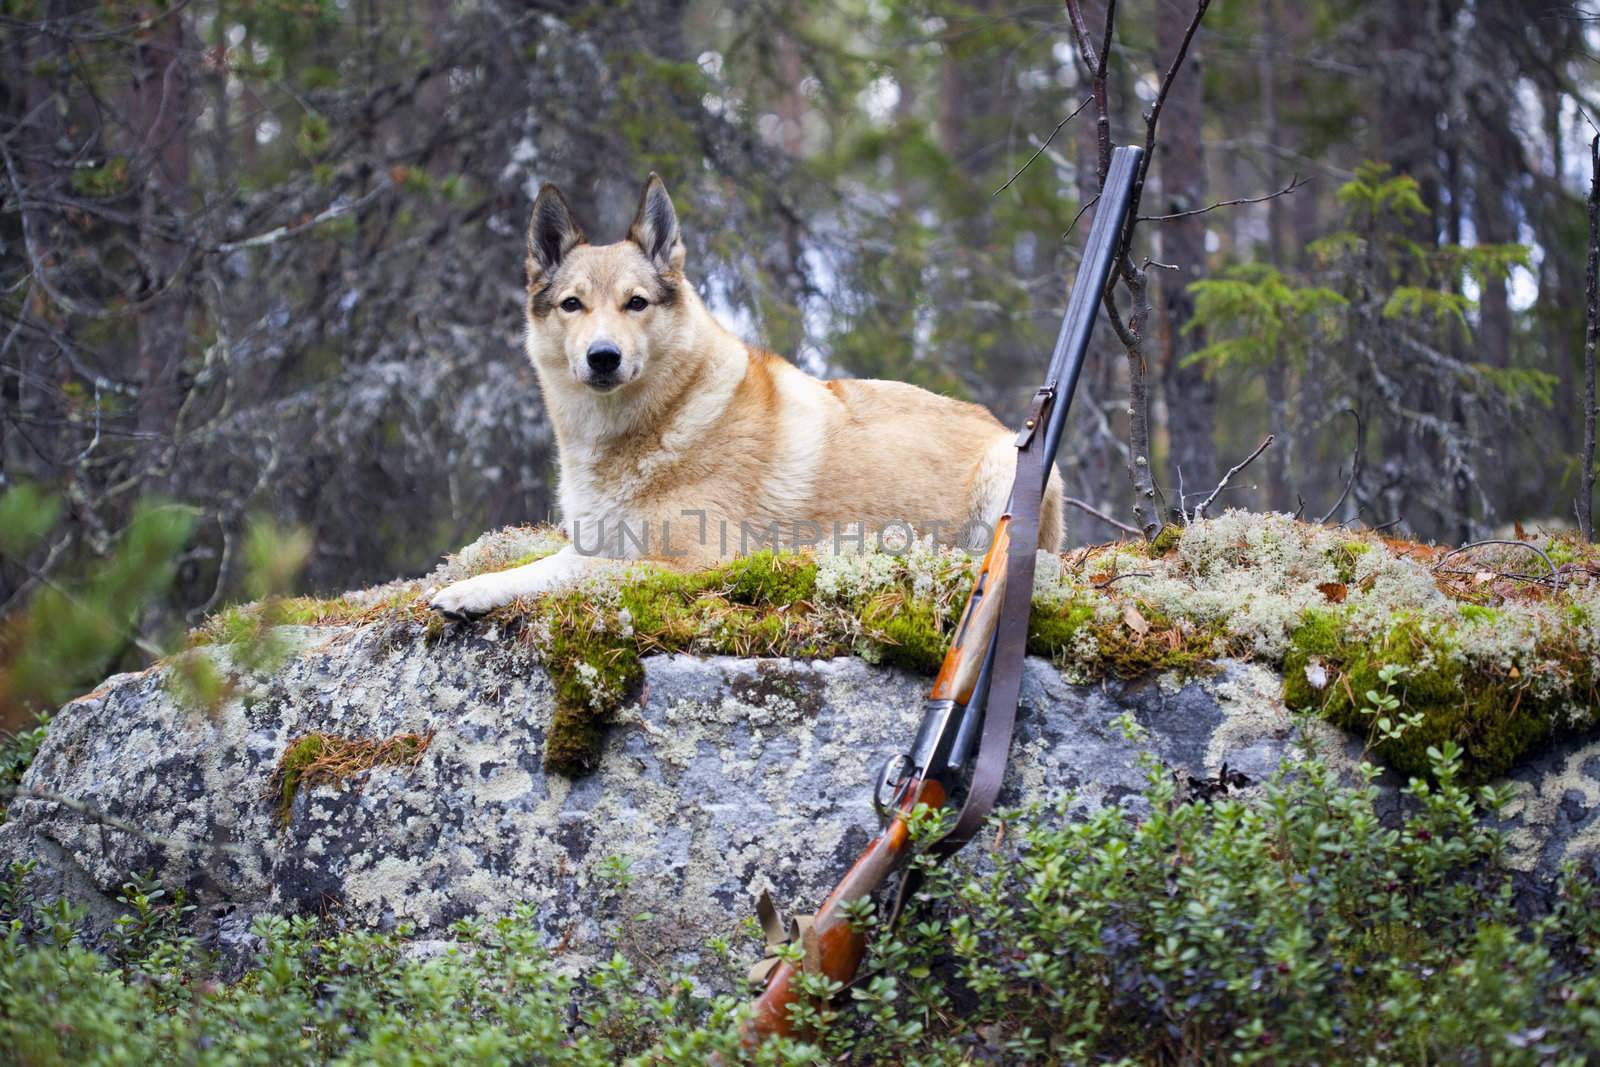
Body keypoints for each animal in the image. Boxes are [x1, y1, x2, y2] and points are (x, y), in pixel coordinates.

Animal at [428, 174, 1062, 617]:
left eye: (636, 303)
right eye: (571, 305)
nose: (602, 357)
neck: (658, 424)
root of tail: (999, 424)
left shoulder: (695, 563)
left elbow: (592, 575)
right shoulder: (590, 542)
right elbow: (540, 569)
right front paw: (471, 589)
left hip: (1004, 476)